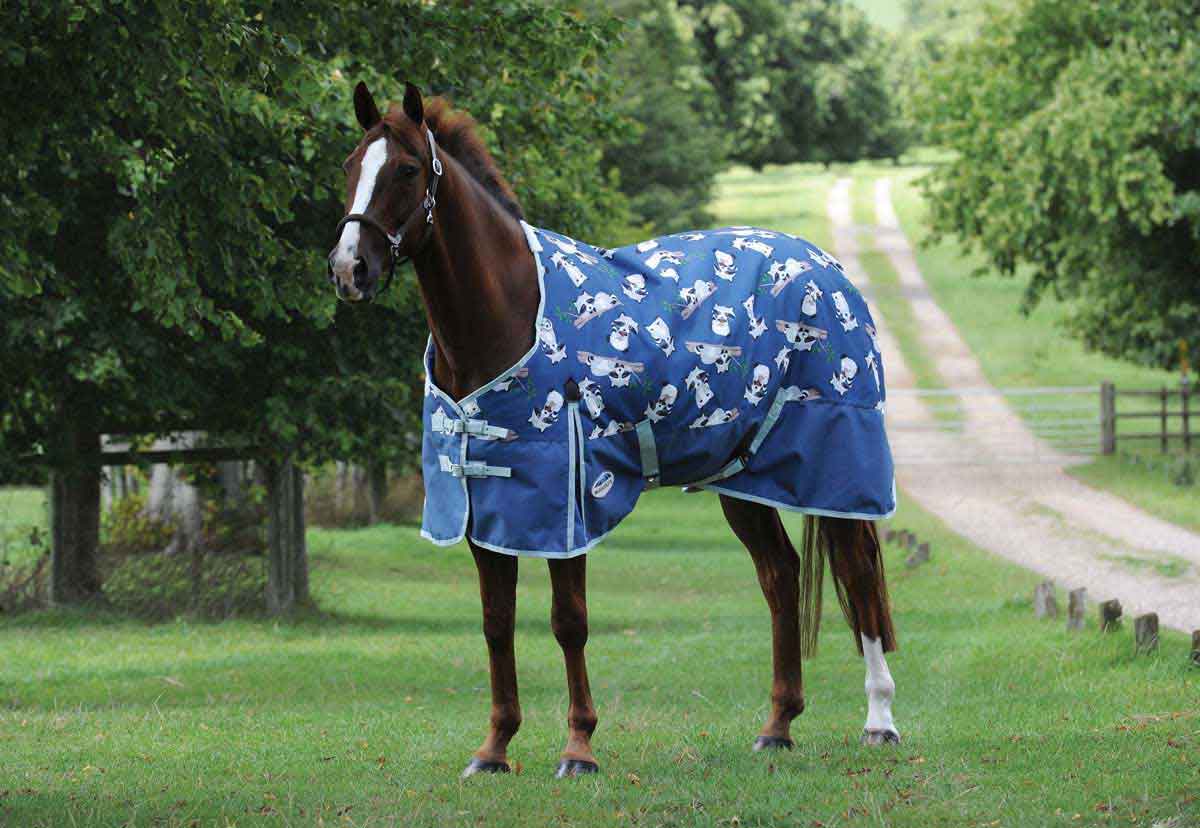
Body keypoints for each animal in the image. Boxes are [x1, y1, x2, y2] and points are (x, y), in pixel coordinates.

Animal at [328, 82, 899, 780]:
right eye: (350, 167)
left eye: (408, 170)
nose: (348, 269)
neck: (509, 314)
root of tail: (829, 272)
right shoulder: (483, 504)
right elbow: (496, 622)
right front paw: (493, 750)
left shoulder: (566, 502)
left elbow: (568, 621)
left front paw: (578, 749)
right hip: (743, 480)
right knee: (780, 577)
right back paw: (777, 727)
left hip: (836, 466)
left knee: (858, 576)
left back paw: (879, 722)